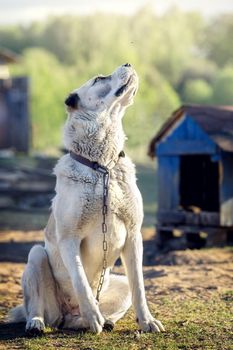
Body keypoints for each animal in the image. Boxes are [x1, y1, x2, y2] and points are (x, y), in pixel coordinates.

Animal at [9, 64, 165, 334]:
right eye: (99, 78)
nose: (128, 64)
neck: (102, 167)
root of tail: (67, 315)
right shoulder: (69, 237)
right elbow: (80, 280)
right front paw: (93, 316)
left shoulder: (134, 235)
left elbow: (140, 287)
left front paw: (147, 321)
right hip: (37, 257)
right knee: (37, 304)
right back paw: (38, 322)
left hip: (119, 284)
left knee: (116, 297)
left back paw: (105, 320)